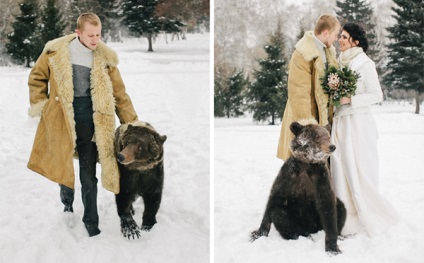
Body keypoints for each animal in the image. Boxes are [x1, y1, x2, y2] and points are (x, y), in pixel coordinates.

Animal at [250, 121, 346, 256]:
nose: (331, 146)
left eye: (328, 136)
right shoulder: (289, 174)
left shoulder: (321, 177)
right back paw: (300, 235)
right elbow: (275, 198)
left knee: (341, 207)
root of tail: (311, 229)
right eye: (317, 136)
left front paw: (332, 247)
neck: (307, 163)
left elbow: (328, 206)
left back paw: (340, 235)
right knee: (279, 214)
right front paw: (259, 233)